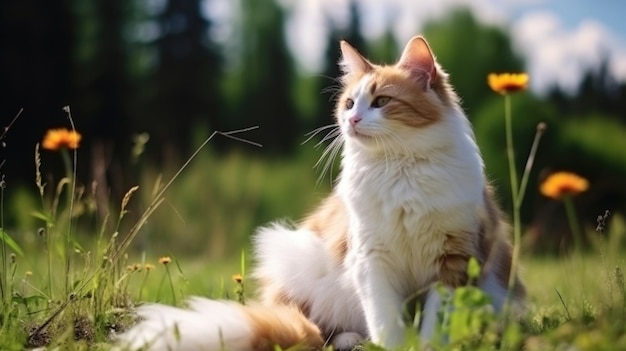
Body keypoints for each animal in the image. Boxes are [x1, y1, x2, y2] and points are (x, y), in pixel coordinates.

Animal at [116, 35, 520, 351]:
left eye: (381, 102)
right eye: (349, 103)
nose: (352, 120)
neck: (400, 170)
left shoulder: (454, 259)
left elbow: (437, 324)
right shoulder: (372, 259)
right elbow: (385, 321)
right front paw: (390, 345)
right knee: (316, 332)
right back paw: (350, 340)